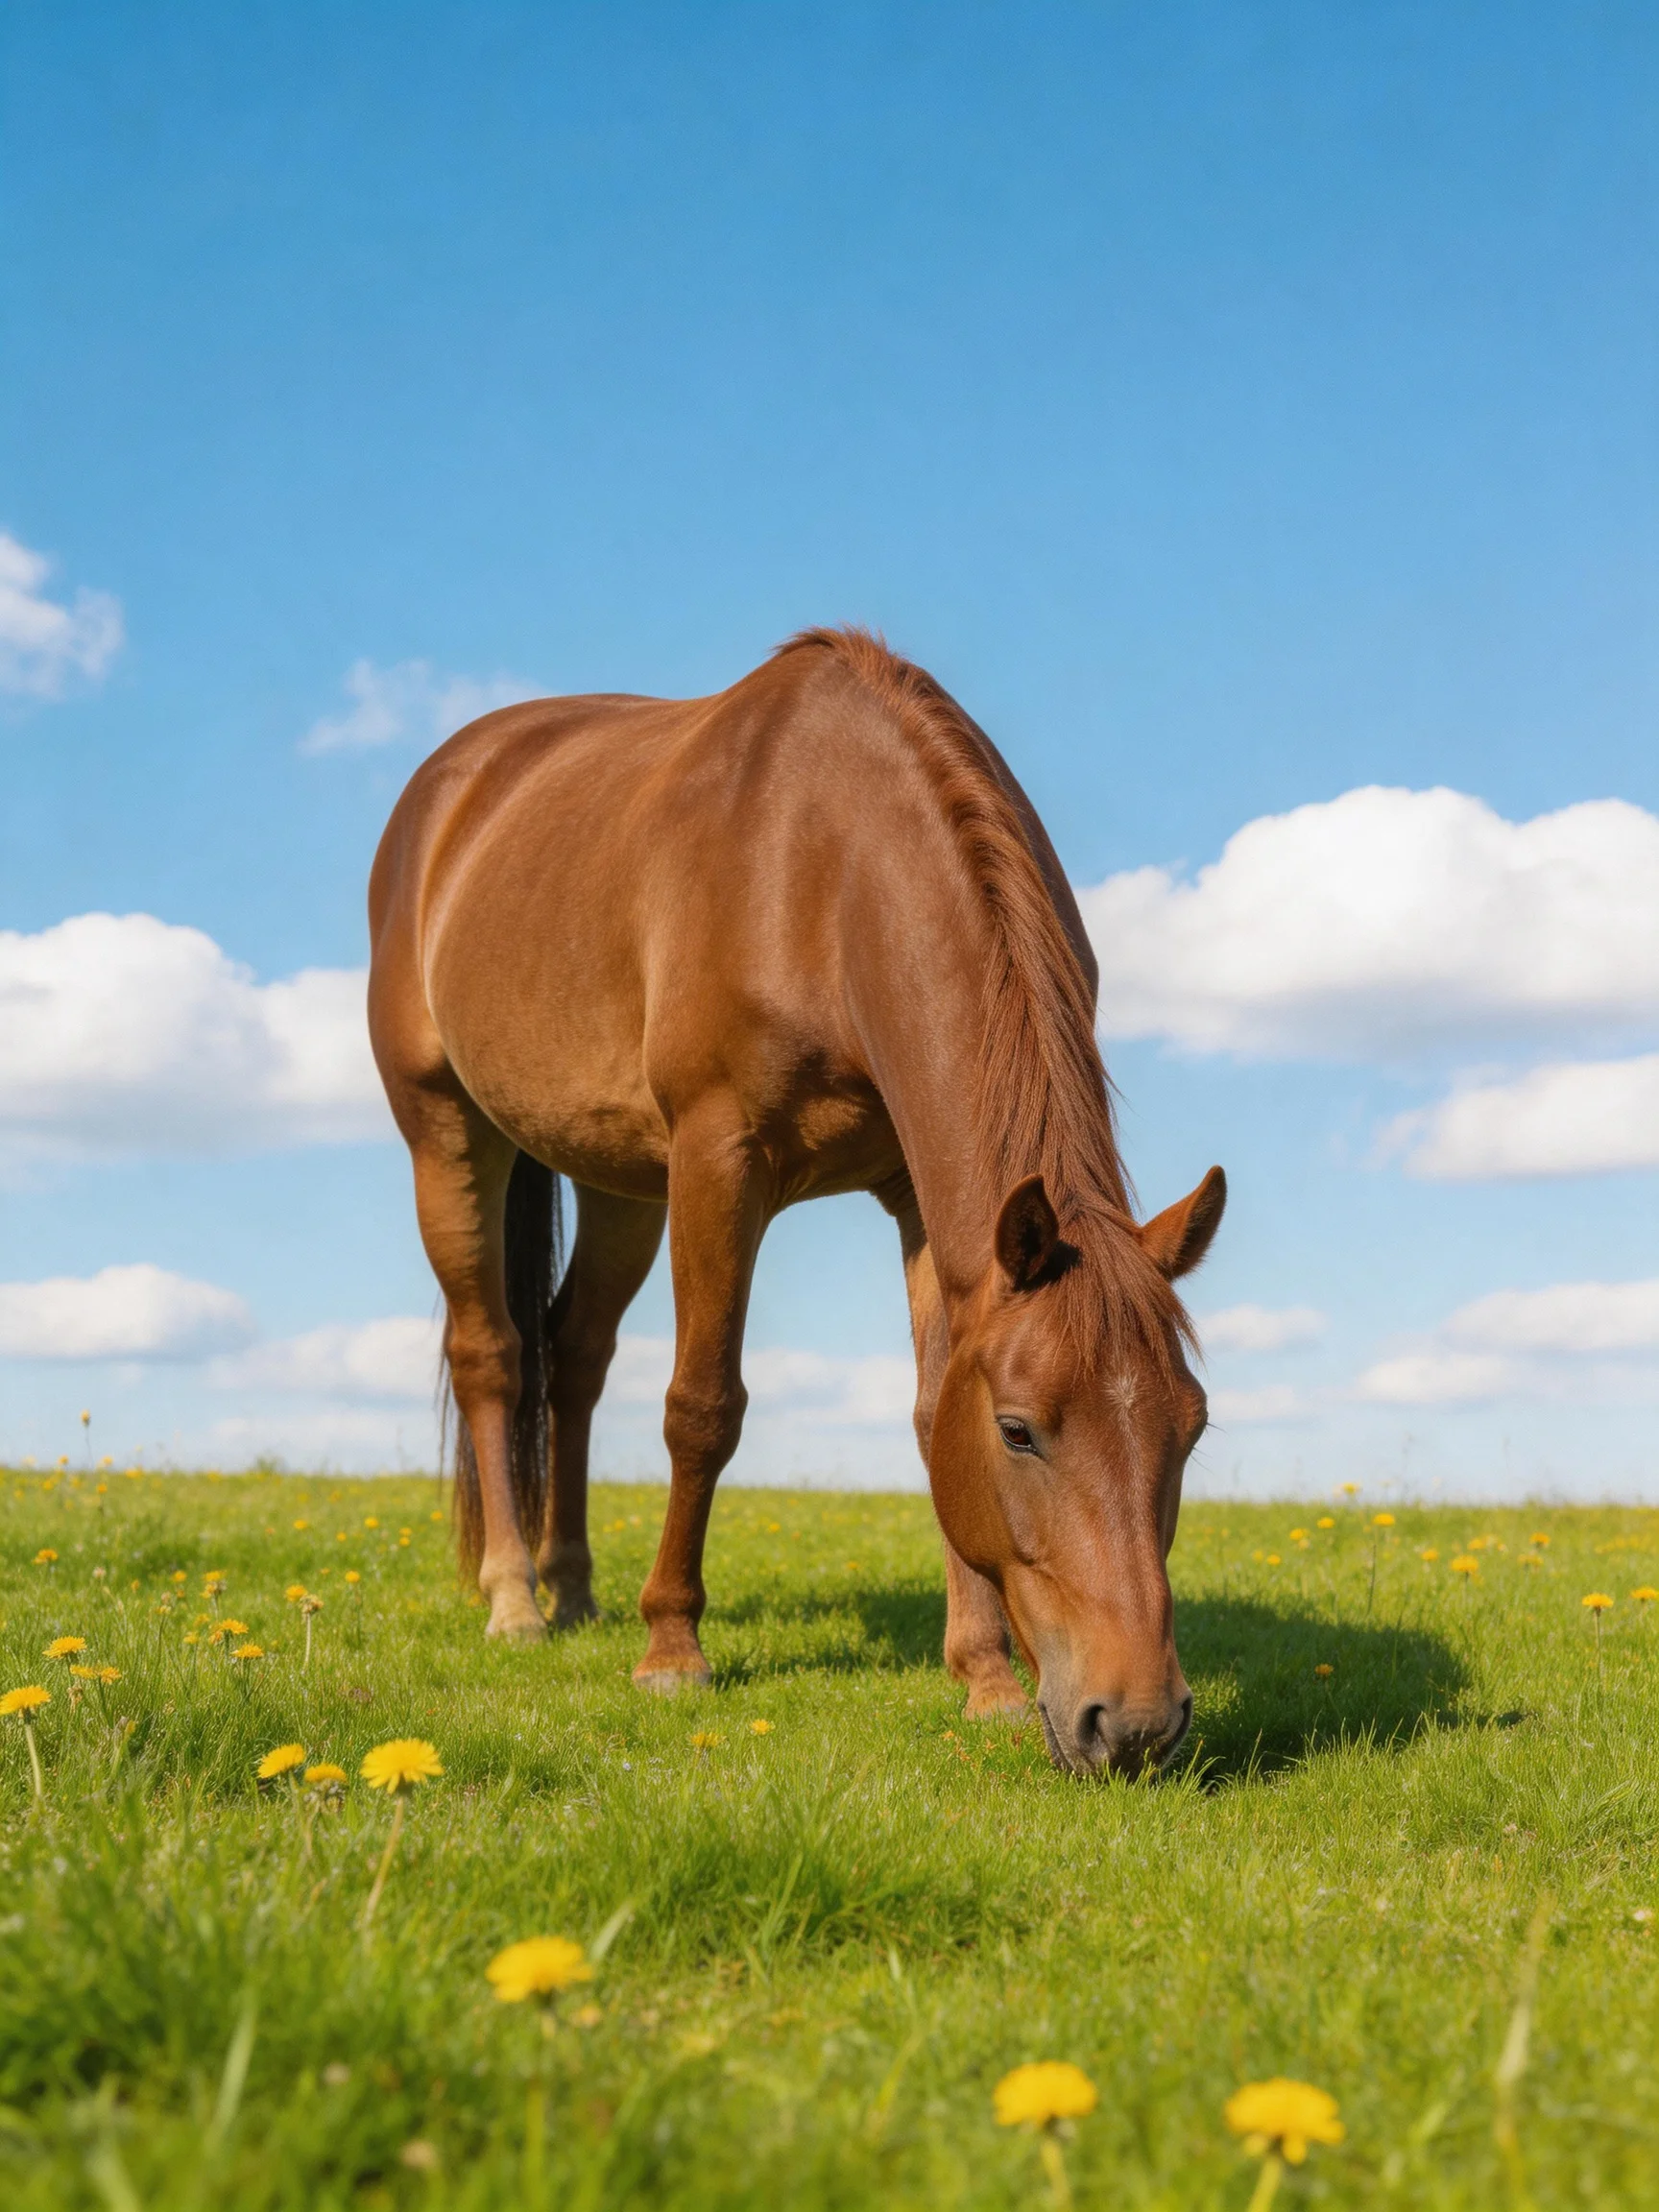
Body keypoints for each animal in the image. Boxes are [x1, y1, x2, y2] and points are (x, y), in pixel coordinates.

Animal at [367, 627, 1224, 1776]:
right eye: (1018, 1433)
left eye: (1192, 1428)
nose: (1132, 1726)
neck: (824, 869)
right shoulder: (718, 1158)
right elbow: (702, 1407)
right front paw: (672, 1651)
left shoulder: (919, 1198)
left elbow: (925, 1413)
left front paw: (986, 1678)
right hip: (450, 1134)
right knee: (494, 1353)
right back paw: (516, 1601)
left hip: (618, 1180)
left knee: (575, 1355)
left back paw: (574, 1589)